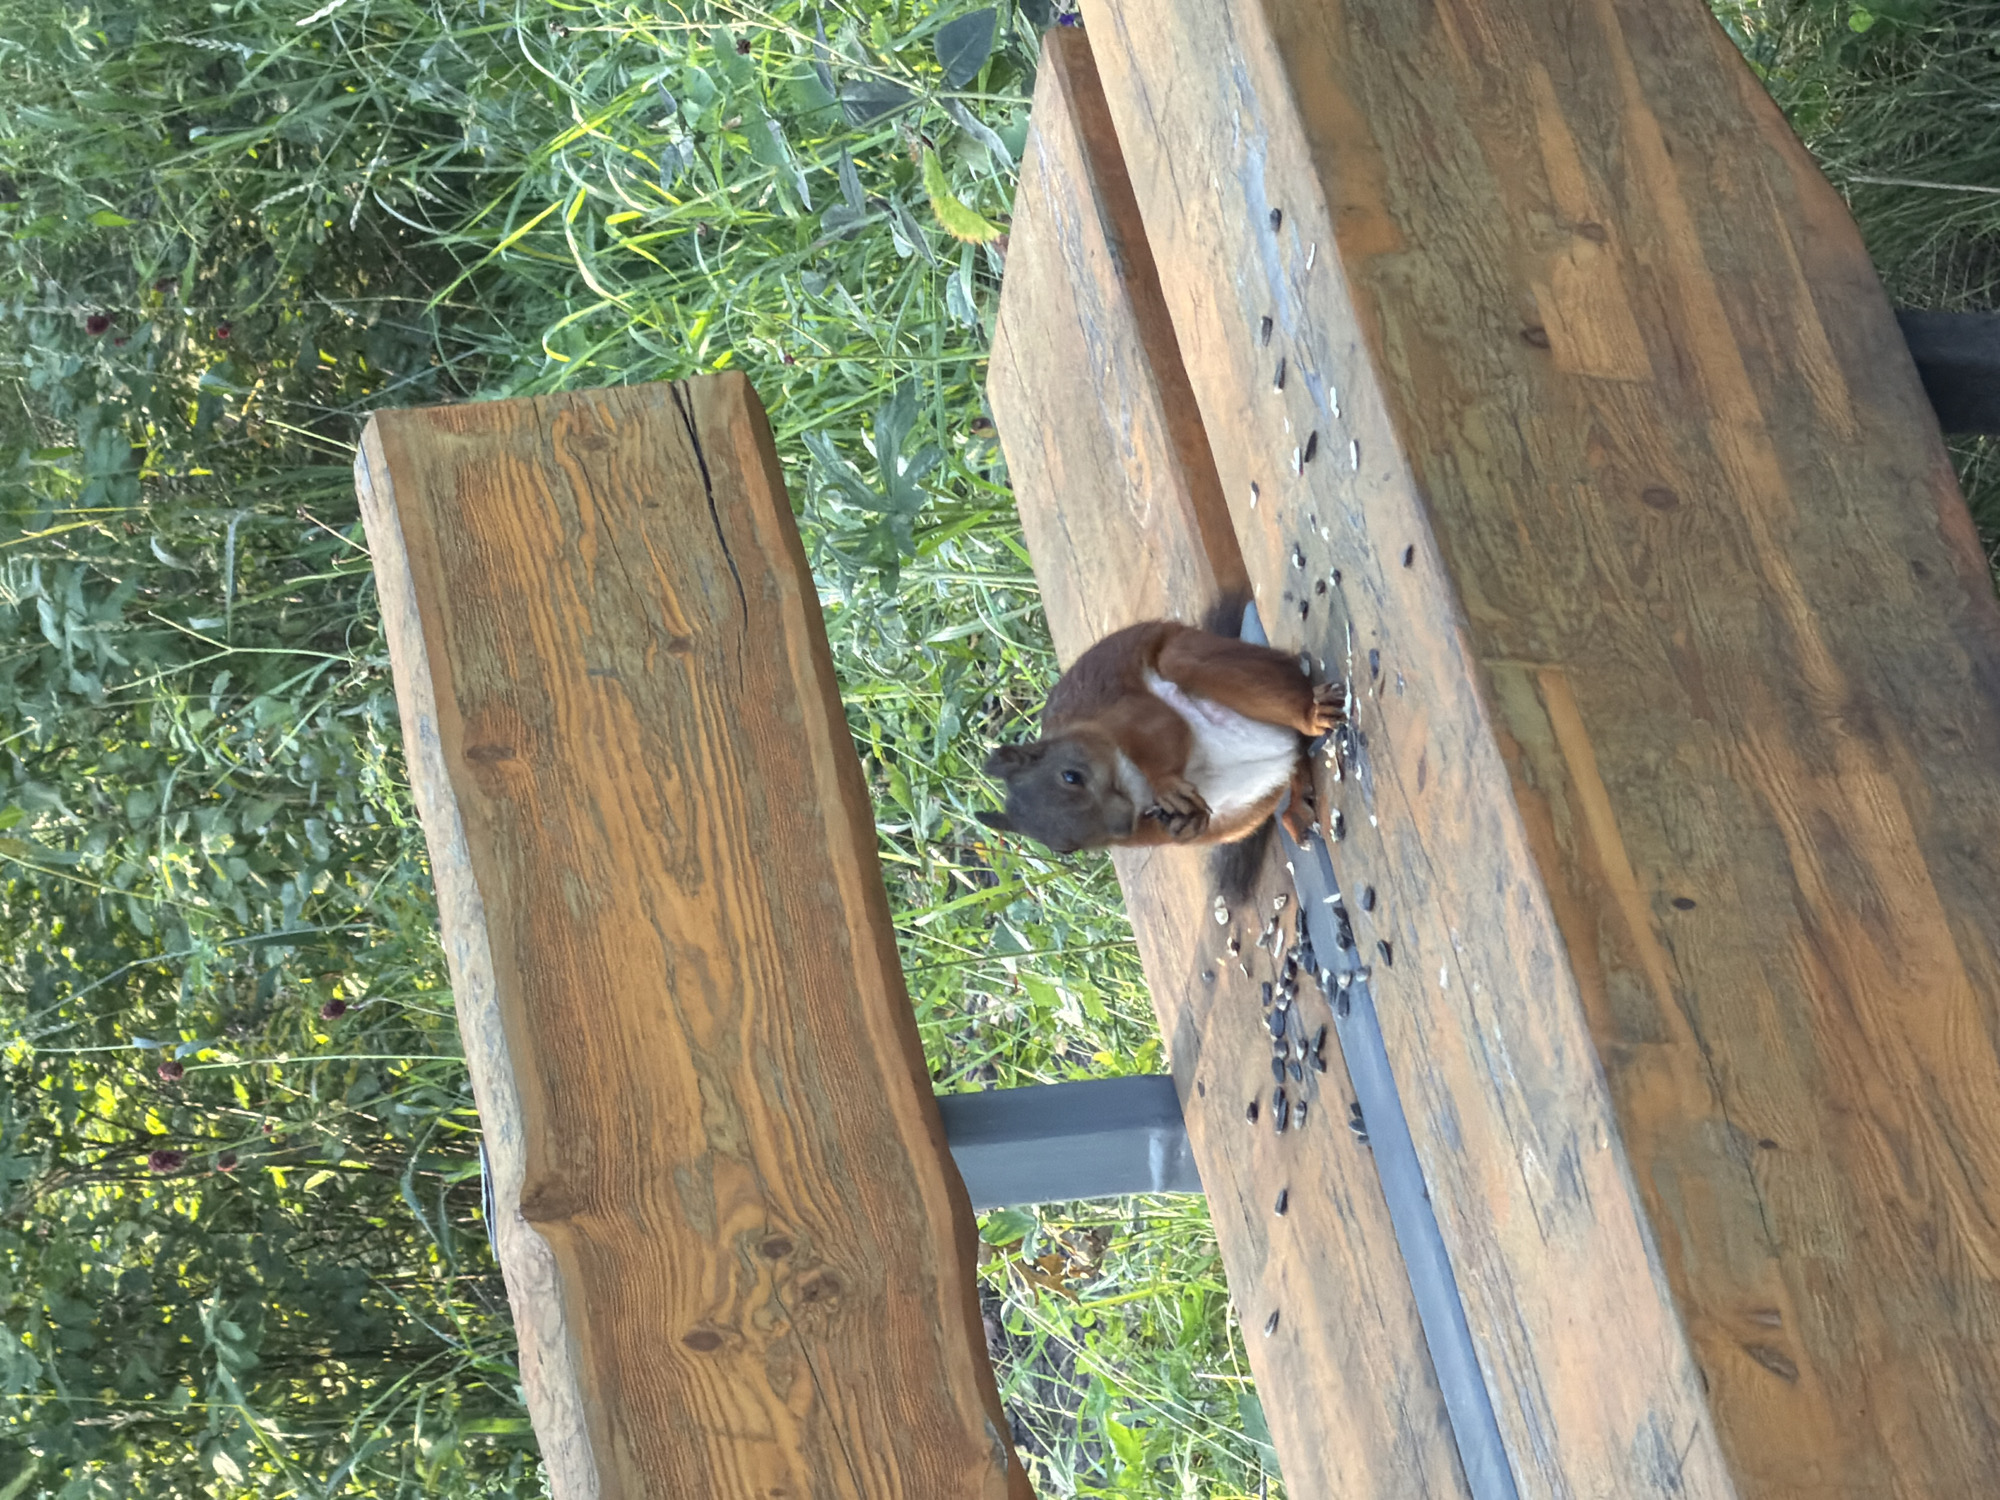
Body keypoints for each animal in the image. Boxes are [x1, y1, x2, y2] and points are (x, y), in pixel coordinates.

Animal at [978, 619, 1347, 855]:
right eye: (1065, 850)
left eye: (1071, 776)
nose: (1122, 825)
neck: (1137, 789)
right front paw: (1185, 824)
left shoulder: (1128, 715)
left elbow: (1163, 732)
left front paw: (1167, 786)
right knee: (1296, 761)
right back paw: (1296, 807)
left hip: (1203, 660)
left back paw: (1312, 714)